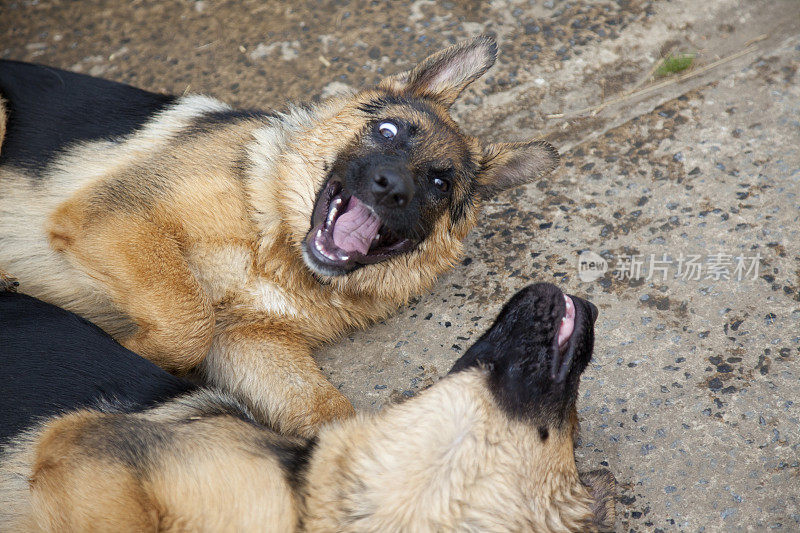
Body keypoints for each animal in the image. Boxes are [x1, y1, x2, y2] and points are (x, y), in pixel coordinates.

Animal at [0, 37, 560, 436]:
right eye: (388, 132)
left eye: (441, 183)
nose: (392, 187)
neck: (275, 243)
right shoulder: (111, 216)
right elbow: (187, 317)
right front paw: (129, 347)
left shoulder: (250, 340)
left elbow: (321, 405)